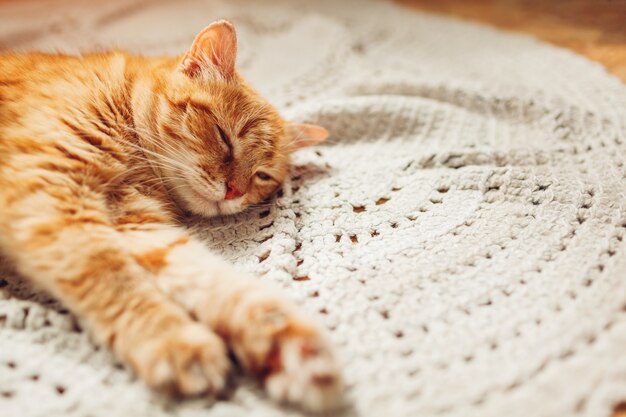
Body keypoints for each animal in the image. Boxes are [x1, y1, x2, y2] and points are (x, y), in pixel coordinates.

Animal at [0, 18, 342, 410]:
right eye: (225, 138)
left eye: (262, 176)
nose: (234, 191)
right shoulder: (51, 190)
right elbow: (113, 277)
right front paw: (172, 339)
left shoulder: (136, 224)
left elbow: (211, 278)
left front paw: (283, 343)